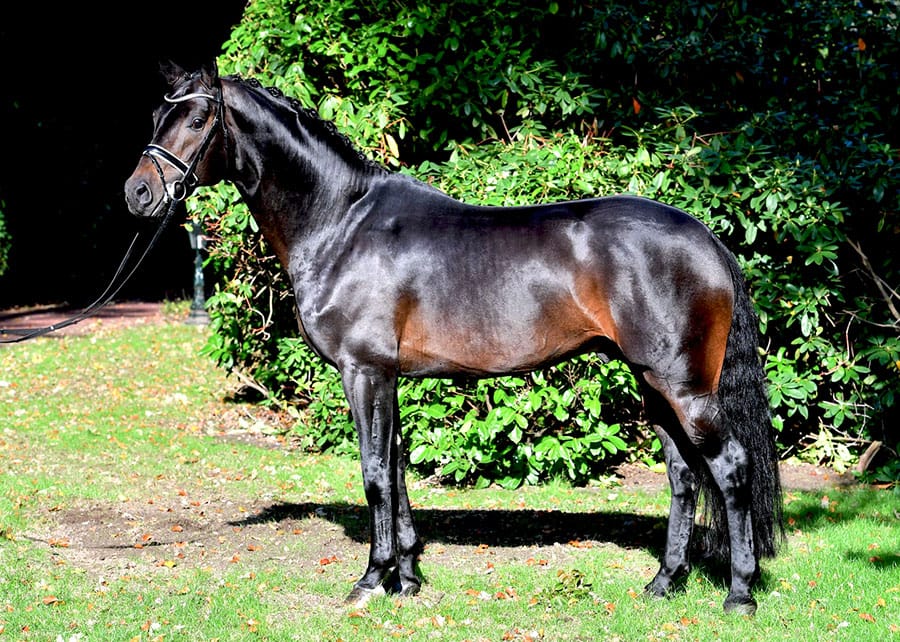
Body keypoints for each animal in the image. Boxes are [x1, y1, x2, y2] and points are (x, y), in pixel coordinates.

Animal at [124, 61, 783, 615]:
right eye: (157, 117)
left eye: (199, 119)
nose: (137, 193)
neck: (341, 223)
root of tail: (705, 237)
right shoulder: (387, 378)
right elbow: (394, 473)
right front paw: (409, 579)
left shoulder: (364, 373)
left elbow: (373, 474)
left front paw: (371, 580)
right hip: (653, 385)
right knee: (683, 475)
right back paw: (663, 583)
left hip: (684, 387)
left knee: (730, 467)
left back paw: (739, 595)